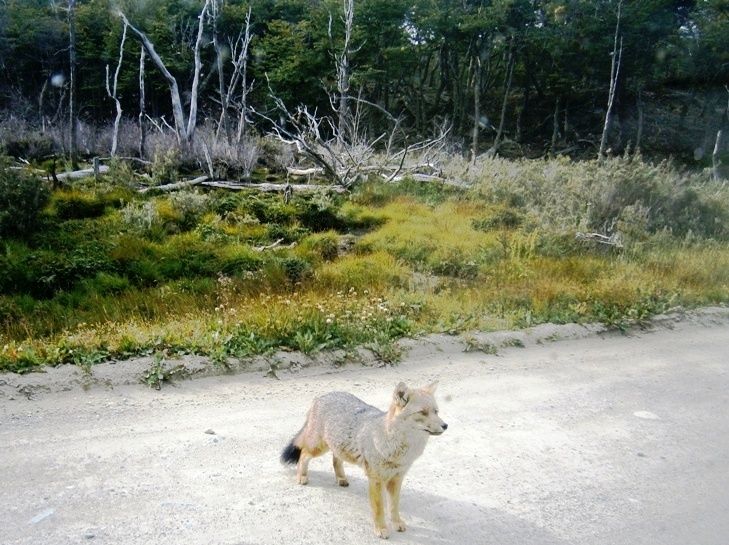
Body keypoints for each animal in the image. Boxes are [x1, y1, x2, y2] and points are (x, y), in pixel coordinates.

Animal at [280, 380, 446, 536]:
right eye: (422, 412)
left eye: (436, 411)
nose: (446, 425)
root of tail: (322, 396)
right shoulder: (376, 480)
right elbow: (379, 509)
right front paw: (381, 528)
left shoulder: (396, 479)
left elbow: (393, 507)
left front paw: (396, 523)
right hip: (318, 447)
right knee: (303, 454)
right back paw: (302, 476)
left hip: (338, 447)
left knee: (335, 460)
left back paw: (341, 478)